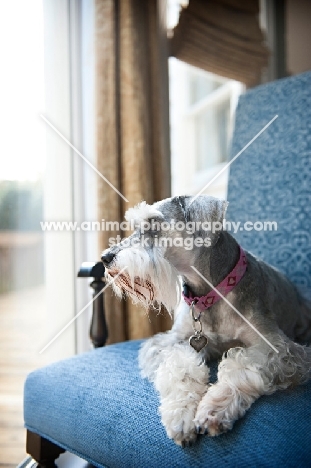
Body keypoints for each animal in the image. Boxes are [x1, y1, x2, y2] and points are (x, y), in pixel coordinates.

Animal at [102, 194, 311, 446]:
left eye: (153, 224)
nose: (105, 258)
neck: (210, 294)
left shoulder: (278, 349)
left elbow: (242, 365)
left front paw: (215, 407)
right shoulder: (170, 341)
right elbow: (180, 366)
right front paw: (181, 415)